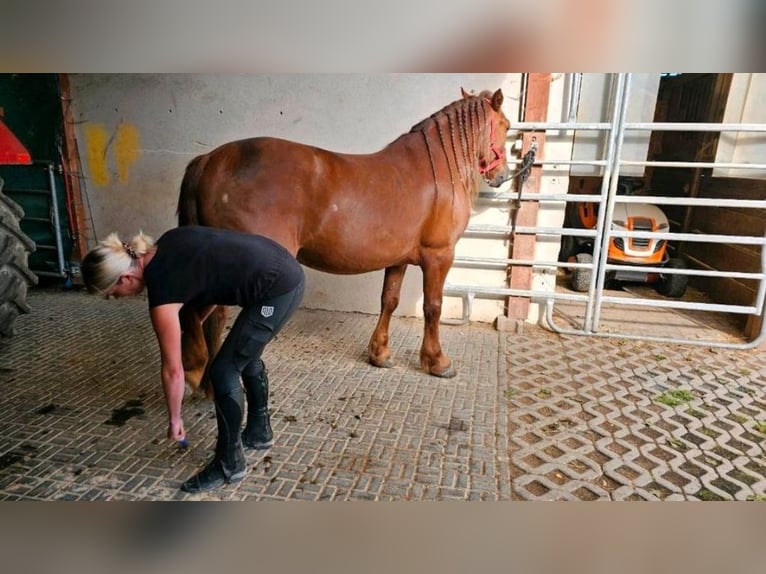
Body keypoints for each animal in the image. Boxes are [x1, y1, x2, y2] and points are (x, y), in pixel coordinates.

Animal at [180, 88, 512, 394]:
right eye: (506, 126)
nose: (503, 176)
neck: (437, 170)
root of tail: (211, 160)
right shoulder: (439, 256)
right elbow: (433, 307)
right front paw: (438, 362)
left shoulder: (398, 260)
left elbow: (389, 301)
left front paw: (380, 354)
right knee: (197, 314)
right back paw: (197, 373)